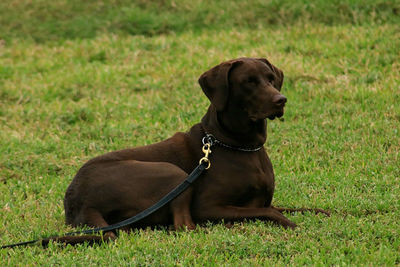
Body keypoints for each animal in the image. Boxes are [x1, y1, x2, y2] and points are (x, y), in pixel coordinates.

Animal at [61, 58, 324, 243]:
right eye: (248, 81)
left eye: (271, 79)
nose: (281, 100)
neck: (239, 145)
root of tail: (78, 202)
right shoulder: (207, 207)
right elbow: (271, 213)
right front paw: (291, 224)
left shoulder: (262, 202)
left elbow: (299, 208)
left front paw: (327, 213)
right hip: (172, 173)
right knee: (183, 227)